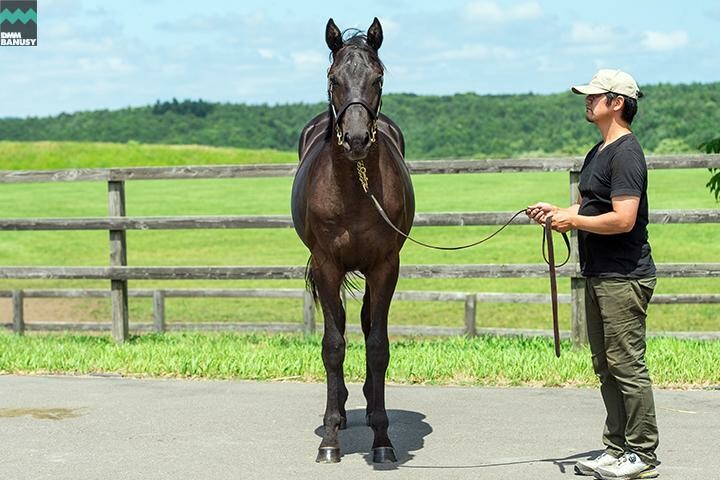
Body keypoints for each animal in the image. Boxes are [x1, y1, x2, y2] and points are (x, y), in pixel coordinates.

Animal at [292, 16, 416, 464]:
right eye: (334, 79)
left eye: (378, 78)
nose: (358, 139)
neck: (356, 190)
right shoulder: (327, 265)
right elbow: (333, 345)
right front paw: (329, 440)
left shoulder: (385, 266)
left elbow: (377, 345)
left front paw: (382, 439)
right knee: (344, 327)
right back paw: (343, 411)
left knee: (363, 324)